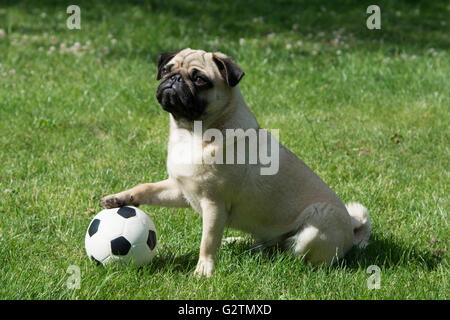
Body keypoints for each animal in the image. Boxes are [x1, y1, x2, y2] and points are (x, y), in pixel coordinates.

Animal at [100, 48, 370, 276]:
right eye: (167, 70)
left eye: (200, 79)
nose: (174, 80)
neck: (191, 133)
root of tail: (353, 228)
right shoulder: (181, 189)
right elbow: (146, 188)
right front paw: (119, 198)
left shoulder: (214, 204)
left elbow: (208, 241)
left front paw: (204, 270)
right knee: (265, 243)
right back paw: (238, 242)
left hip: (315, 226)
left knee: (291, 250)